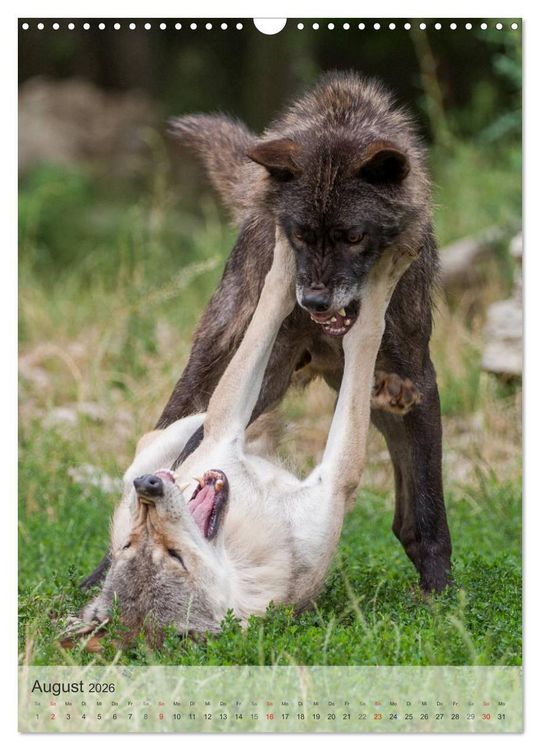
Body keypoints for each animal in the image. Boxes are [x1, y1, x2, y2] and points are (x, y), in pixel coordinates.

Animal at [77, 230, 417, 638]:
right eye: (171, 555)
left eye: (130, 543)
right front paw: (379, 272)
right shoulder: (333, 477)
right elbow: (357, 333)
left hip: (170, 441)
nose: (148, 488)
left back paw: (387, 394)